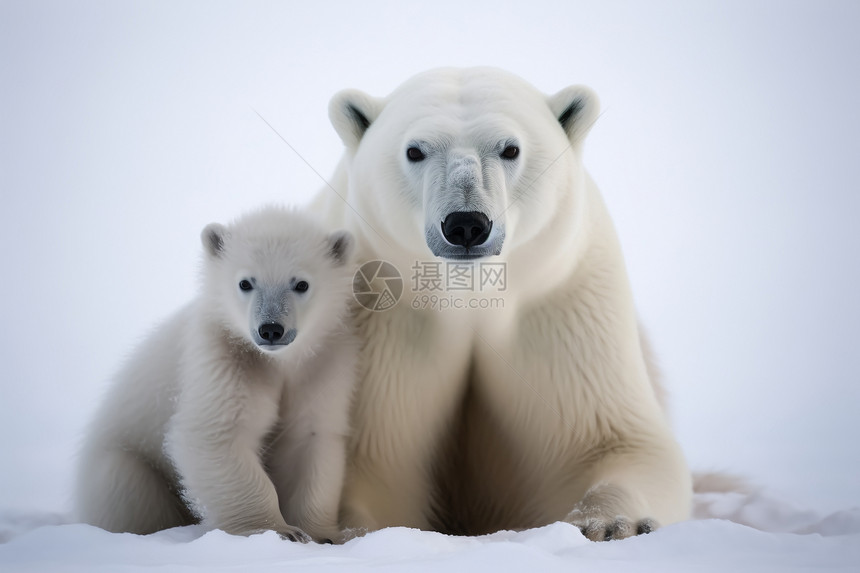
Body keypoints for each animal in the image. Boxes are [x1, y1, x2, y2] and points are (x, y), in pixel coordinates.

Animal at [312, 68, 688, 540]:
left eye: (510, 148)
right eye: (415, 150)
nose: (466, 223)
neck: (470, 297)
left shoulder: (560, 306)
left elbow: (614, 439)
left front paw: (613, 523)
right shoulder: (381, 316)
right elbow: (369, 450)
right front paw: (353, 530)